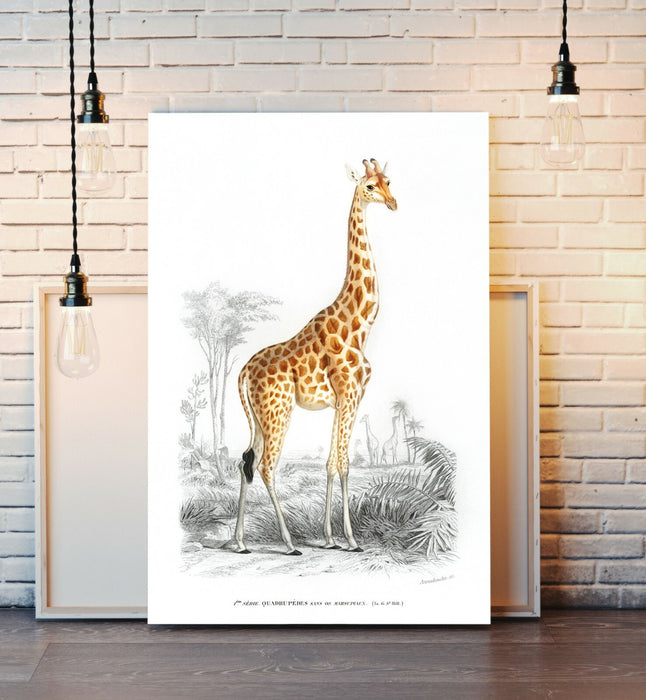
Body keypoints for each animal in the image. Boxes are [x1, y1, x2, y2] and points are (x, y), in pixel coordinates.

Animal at [235, 158, 397, 555]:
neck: (360, 325)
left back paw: (240, 542)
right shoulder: (350, 395)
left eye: (389, 181)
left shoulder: (344, 400)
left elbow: (331, 463)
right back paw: (290, 543)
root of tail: (243, 371)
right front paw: (351, 540)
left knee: (245, 460)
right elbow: (344, 464)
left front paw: (330, 538)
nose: (392, 203)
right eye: (369, 186)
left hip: (260, 418)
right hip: (278, 412)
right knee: (265, 466)